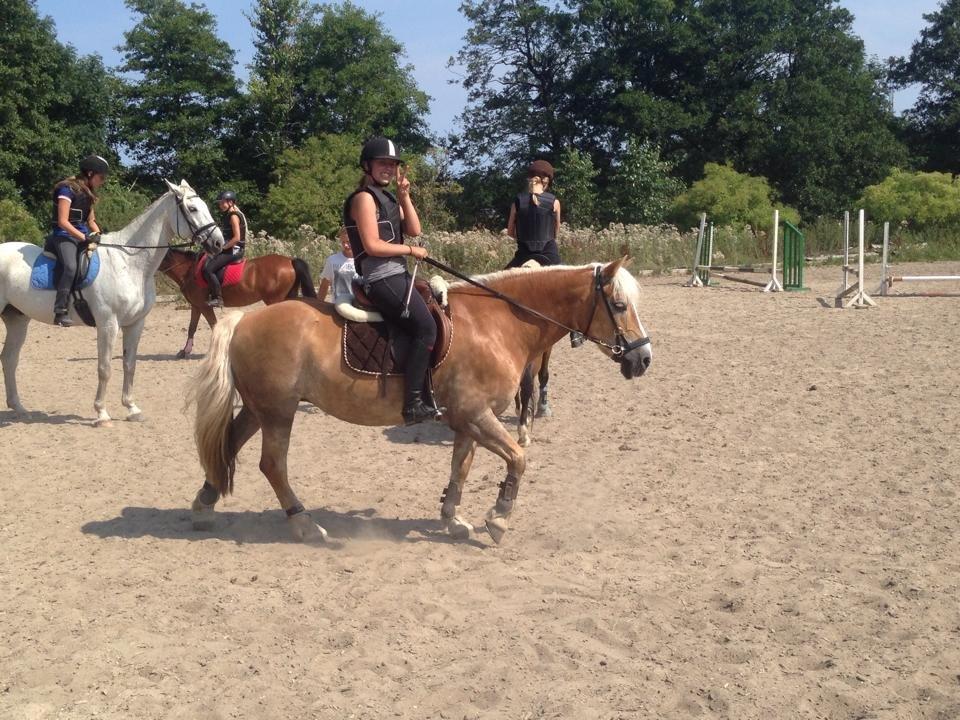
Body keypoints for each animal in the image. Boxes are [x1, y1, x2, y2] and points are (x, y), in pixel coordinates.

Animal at [0, 180, 223, 424]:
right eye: (192, 209)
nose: (218, 242)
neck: (129, 263)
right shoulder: (108, 323)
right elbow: (105, 367)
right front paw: (102, 413)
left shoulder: (135, 324)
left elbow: (129, 364)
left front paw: (132, 408)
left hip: (17, 320)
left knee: (9, 359)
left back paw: (20, 409)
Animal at [158, 249, 318, 358]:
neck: (190, 271)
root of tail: (290, 260)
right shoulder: (196, 306)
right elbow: (192, 327)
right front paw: (184, 351)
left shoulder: (204, 306)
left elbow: (214, 325)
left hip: (275, 300)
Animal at [188, 258, 652, 544]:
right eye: (618, 304)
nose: (643, 358)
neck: (496, 323)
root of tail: (243, 319)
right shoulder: (478, 415)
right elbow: (519, 459)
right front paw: (499, 516)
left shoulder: (469, 419)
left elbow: (461, 466)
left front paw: (453, 518)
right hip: (278, 413)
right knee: (272, 465)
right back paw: (305, 525)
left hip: (259, 410)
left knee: (229, 444)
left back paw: (204, 504)